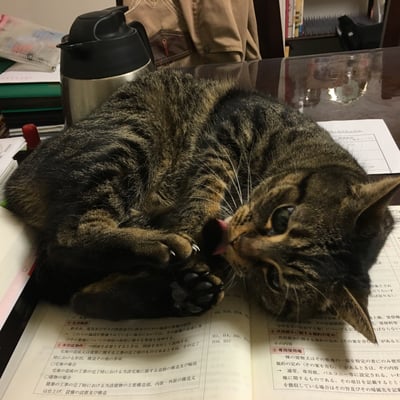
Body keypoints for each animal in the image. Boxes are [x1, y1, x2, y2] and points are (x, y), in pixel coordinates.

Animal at [5, 69, 400, 343]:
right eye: (283, 217)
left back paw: (180, 290)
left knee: (72, 288)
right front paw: (192, 228)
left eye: (273, 280)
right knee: (69, 239)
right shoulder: (234, 126)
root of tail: (17, 176)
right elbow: (207, 183)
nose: (236, 242)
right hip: (131, 139)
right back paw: (163, 246)